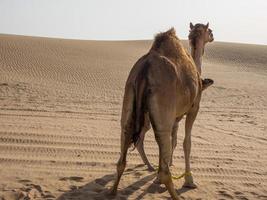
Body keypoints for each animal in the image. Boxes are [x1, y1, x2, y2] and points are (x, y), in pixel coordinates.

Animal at [111, 23, 216, 198]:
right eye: (210, 31)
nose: (213, 36)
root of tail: (144, 71)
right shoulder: (194, 108)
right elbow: (186, 142)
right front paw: (189, 181)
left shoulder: (174, 117)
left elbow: (173, 142)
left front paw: (158, 176)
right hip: (162, 105)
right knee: (160, 138)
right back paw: (175, 194)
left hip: (129, 97)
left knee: (124, 145)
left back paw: (113, 191)